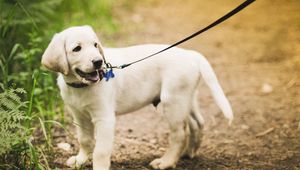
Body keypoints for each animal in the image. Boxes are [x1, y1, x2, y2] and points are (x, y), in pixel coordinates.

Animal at [41, 25, 233, 170]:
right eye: (77, 48)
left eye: (95, 45)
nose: (98, 62)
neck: (81, 87)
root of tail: (190, 53)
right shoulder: (79, 115)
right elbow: (85, 140)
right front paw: (79, 161)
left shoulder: (104, 118)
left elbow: (101, 150)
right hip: (186, 98)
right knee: (197, 123)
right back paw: (188, 152)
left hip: (173, 101)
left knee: (179, 134)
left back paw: (166, 162)